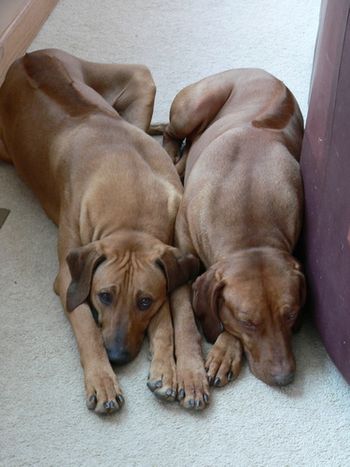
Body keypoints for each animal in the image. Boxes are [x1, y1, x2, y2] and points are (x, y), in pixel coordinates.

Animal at [0, 49, 200, 414]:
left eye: (145, 301)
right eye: (104, 295)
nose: (118, 357)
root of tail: (29, 56)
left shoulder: (176, 260)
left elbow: (174, 319)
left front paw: (172, 371)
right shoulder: (69, 276)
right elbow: (86, 327)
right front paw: (102, 380)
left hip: (140, 81)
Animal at [162, 68, 306, 392]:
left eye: (291, 314)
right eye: (248, 321)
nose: (284, 378)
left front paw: (225, 351)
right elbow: (188, 317)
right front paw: (194, 370)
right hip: (194, 107)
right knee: (171, 133)